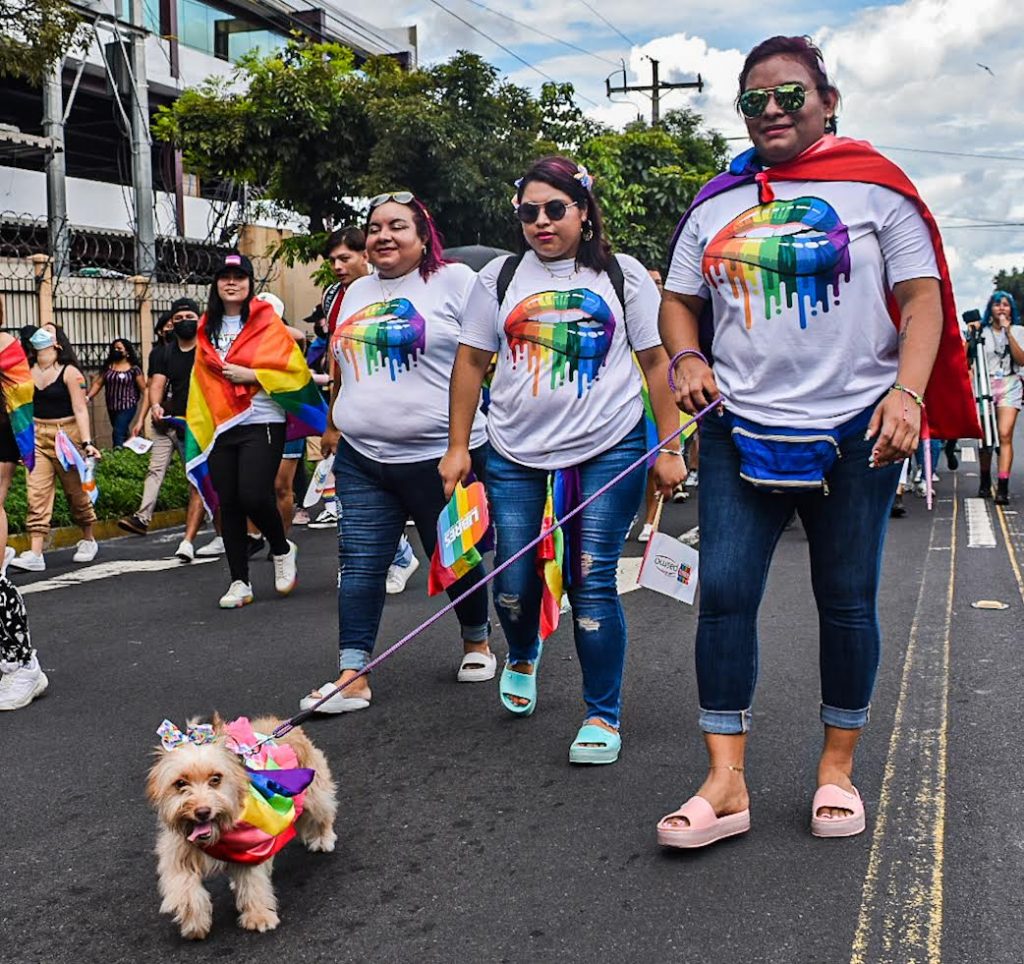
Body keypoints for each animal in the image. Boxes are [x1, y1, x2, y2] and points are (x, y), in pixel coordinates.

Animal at [146, 714, 337, 940]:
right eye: (180, 783)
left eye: (216, 779)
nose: (202, 812)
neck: (219, 833)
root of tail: (281, 724)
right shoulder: (178, 852)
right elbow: (184, 887)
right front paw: (194, 922)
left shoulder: (251, 847)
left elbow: (253, 883)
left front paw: (259, 916)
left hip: (314, 797)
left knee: (324, 813)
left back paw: (324, 838)